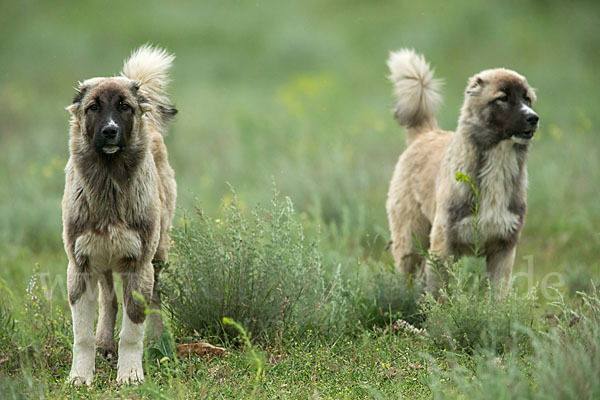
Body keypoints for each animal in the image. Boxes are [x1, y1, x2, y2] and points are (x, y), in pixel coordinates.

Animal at [62, 45, 177, 386]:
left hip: (157, 257)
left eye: (125, 106)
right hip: (103, 262)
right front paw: (80, 377)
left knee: (155, 302)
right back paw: (104, 342)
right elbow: (82, 335)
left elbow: (132, 331)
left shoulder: (138, 267)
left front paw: (130, 375)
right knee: (108, 300)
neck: (109, 187)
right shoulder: (80, 266)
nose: (110, 131)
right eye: (93, 107)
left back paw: (157, 342)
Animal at [384, 49, 540, 294]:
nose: (533, 118)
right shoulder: (444, 245)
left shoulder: (503, 248)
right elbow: (438, 294)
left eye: (527, 99)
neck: (497, 164)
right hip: (410, 239)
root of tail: (425, 133)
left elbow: (496, 296)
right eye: (502, 98)